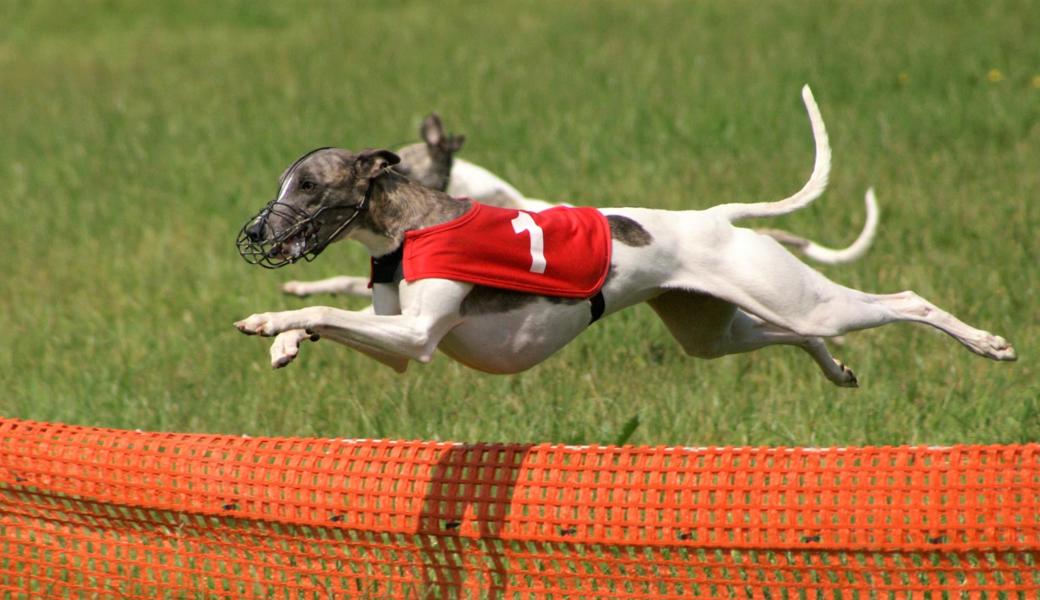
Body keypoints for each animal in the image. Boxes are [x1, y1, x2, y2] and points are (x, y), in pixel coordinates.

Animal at [236, 86, 1015, 386]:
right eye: (282, 183)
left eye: (307, 187)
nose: (257, 233)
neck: (406, 228)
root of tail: (717, 218)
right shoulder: (398, 342)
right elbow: (334, 314)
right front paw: (286, 340)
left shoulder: (418, 337)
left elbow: (326, 306)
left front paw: (270, 319)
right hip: (715, 328)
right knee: (803, 336)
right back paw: (837, 369)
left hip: (801, 299)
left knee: (902, 301)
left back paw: (988, 344)